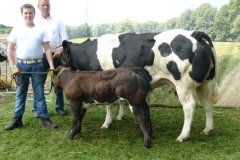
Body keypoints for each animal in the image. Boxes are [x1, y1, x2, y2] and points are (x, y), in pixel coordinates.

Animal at [61, 29, 218, 142]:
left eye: (61, 55)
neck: (90, 52)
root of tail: (194, 35)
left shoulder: (103, 81)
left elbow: (108, 104)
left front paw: (106, 123)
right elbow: (121, 101)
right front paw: (120, 116)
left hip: (183, 85)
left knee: (189, 107)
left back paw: (183, 135)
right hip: (203, 84)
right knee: (207, 104)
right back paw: (208, 129)